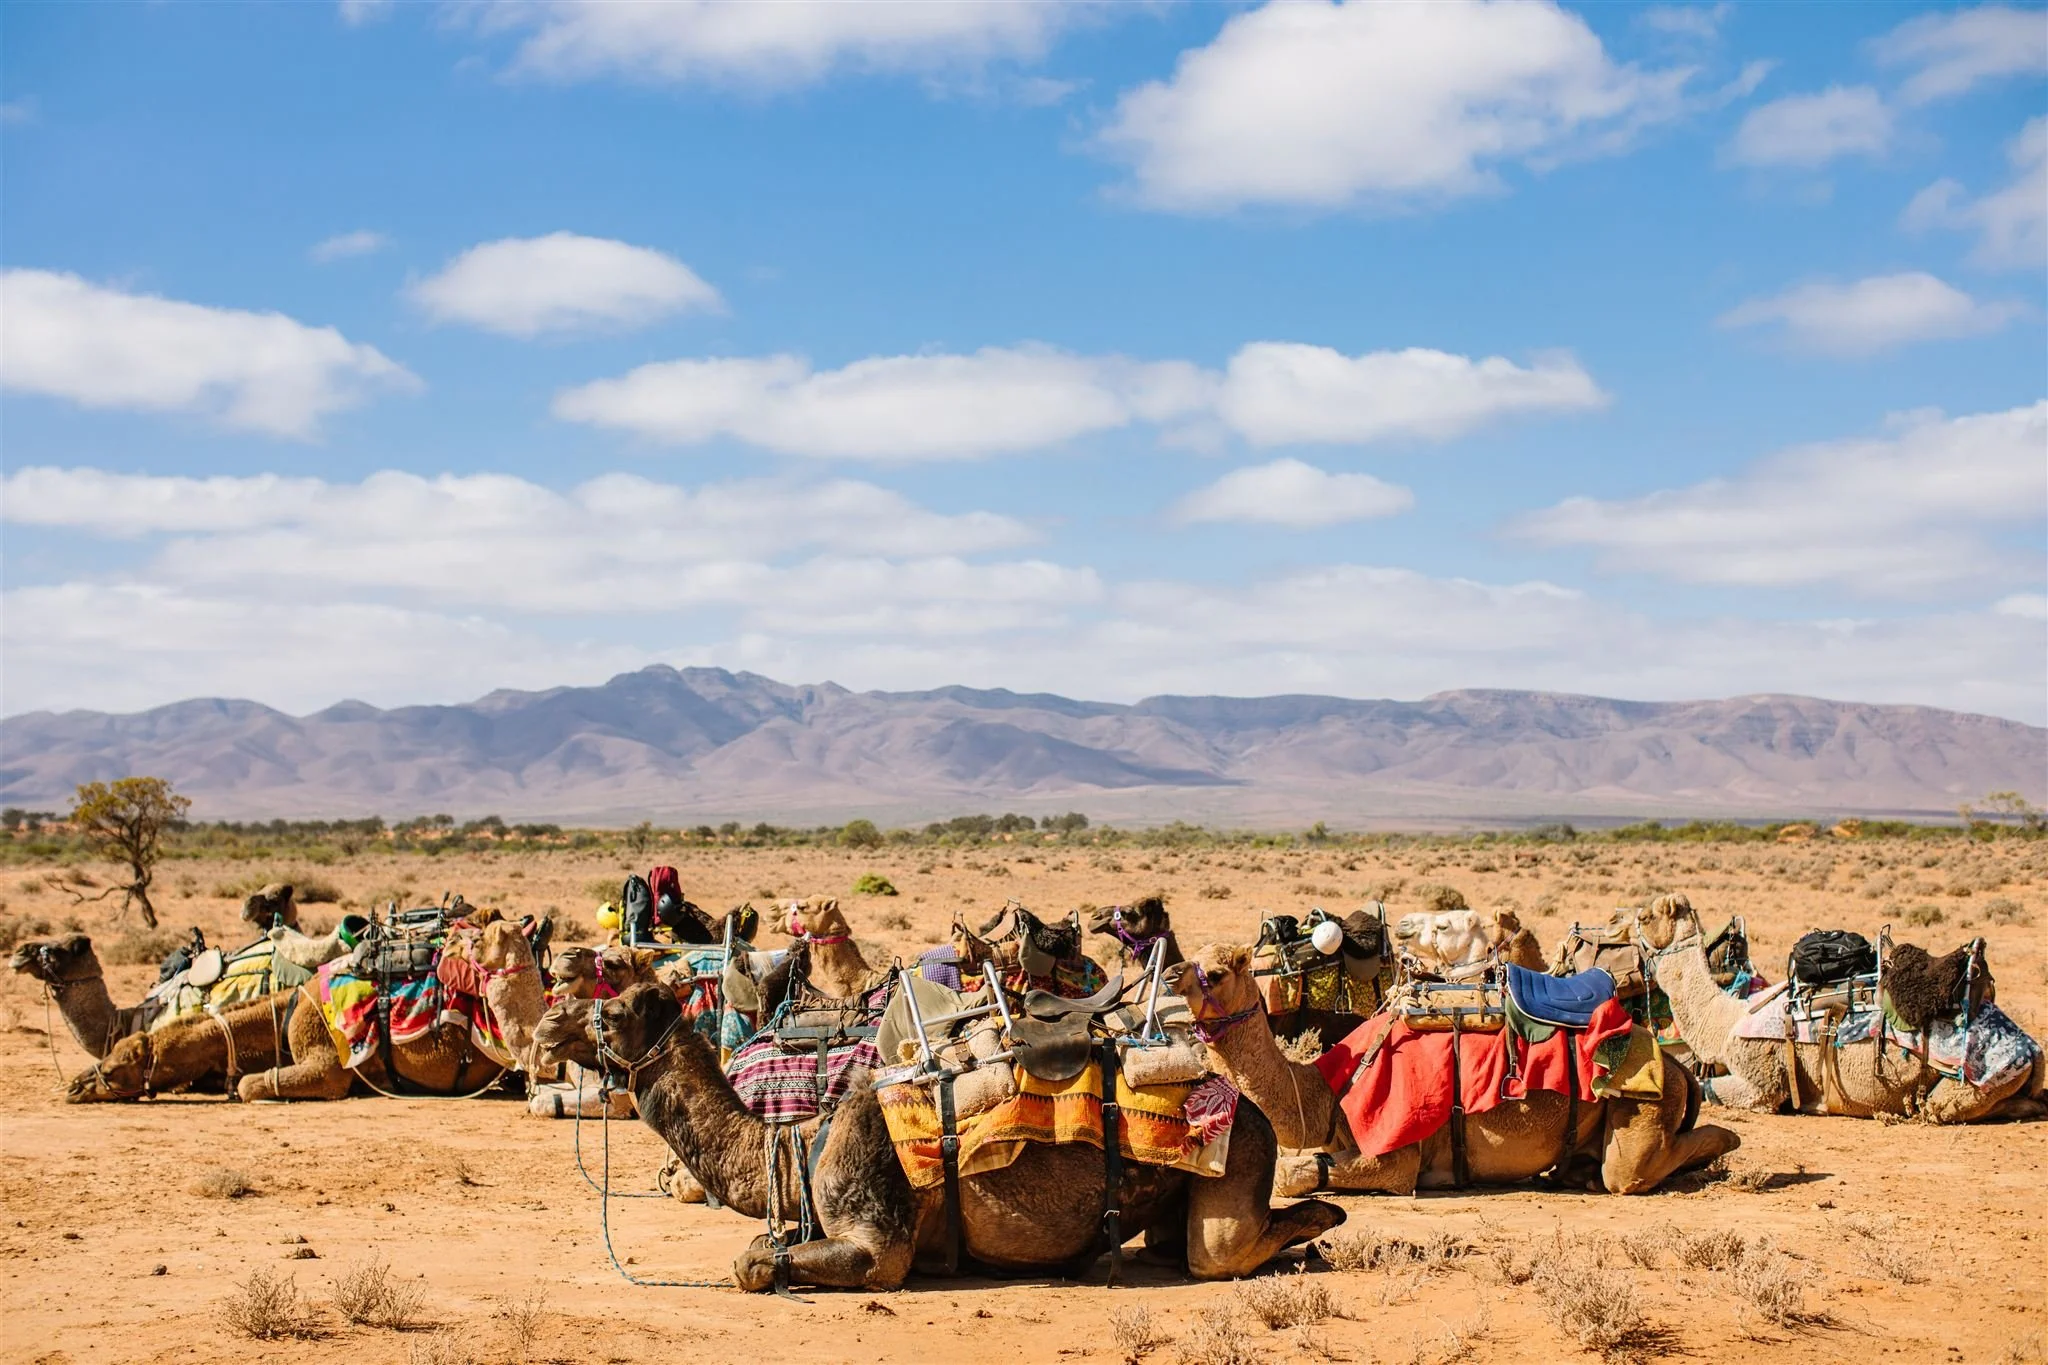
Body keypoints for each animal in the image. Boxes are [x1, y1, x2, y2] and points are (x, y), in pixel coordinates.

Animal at [535, 982, 1344, 1291]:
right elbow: (765, 1246)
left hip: (1238, 1158)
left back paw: (1322, 1222)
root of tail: (1243, 1103)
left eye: (612, 1009)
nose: (547, 1025)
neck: (797, 1147)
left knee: (1222, 1250)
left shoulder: (878, 1244)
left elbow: (753, 1262)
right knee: (1183, 1244)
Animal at [1169, 944, 1738, 1196]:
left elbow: (1295, 1175)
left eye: (1217, 971)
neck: (1326, 1090)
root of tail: (1676, 1066)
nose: (1173, 973)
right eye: (1193, 954)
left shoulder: (1397, 1156)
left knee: (1636, 1168)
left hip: (1642, 1105)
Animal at [1636, 894, 2043, 1123]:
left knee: (1945, 1107)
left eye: (1646, 917)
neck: (1728, 1019)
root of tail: (2032, 1048)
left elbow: (1712, 1088)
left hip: (1976, 1081)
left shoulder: (1762, 1082)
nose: (1628, 921)